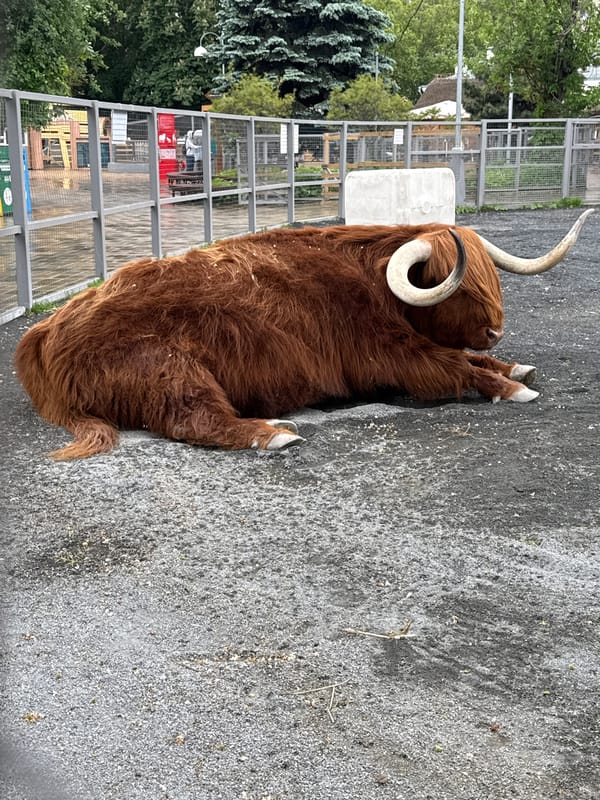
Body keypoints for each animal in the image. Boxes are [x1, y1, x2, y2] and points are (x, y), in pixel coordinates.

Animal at [15, 210, 593, 460]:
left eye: (493, 280)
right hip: (169, 369)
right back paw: (272, 432)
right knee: (193, 419)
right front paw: (511, 385)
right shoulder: (387, 355)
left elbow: (464, 357)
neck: (371, 279)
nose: (496, 330)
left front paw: (513, 366)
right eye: (461, 290)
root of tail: (46, 328)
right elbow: (454, 364)